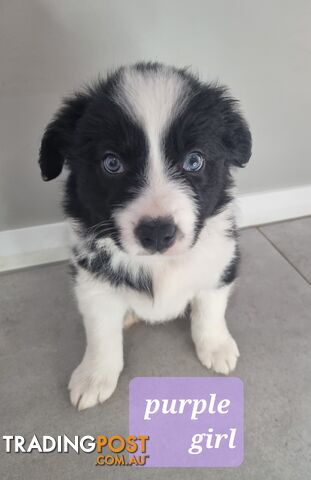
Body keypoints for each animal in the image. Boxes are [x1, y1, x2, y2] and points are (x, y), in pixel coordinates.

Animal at [39, 62, 254, 410]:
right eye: (112, 163)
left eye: (194, 160)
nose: (157, 233)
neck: (159, 265)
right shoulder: (92, 279)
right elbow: (101, 332)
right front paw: (94, 376)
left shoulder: (219, 261)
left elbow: (209, 309)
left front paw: (216, 346)